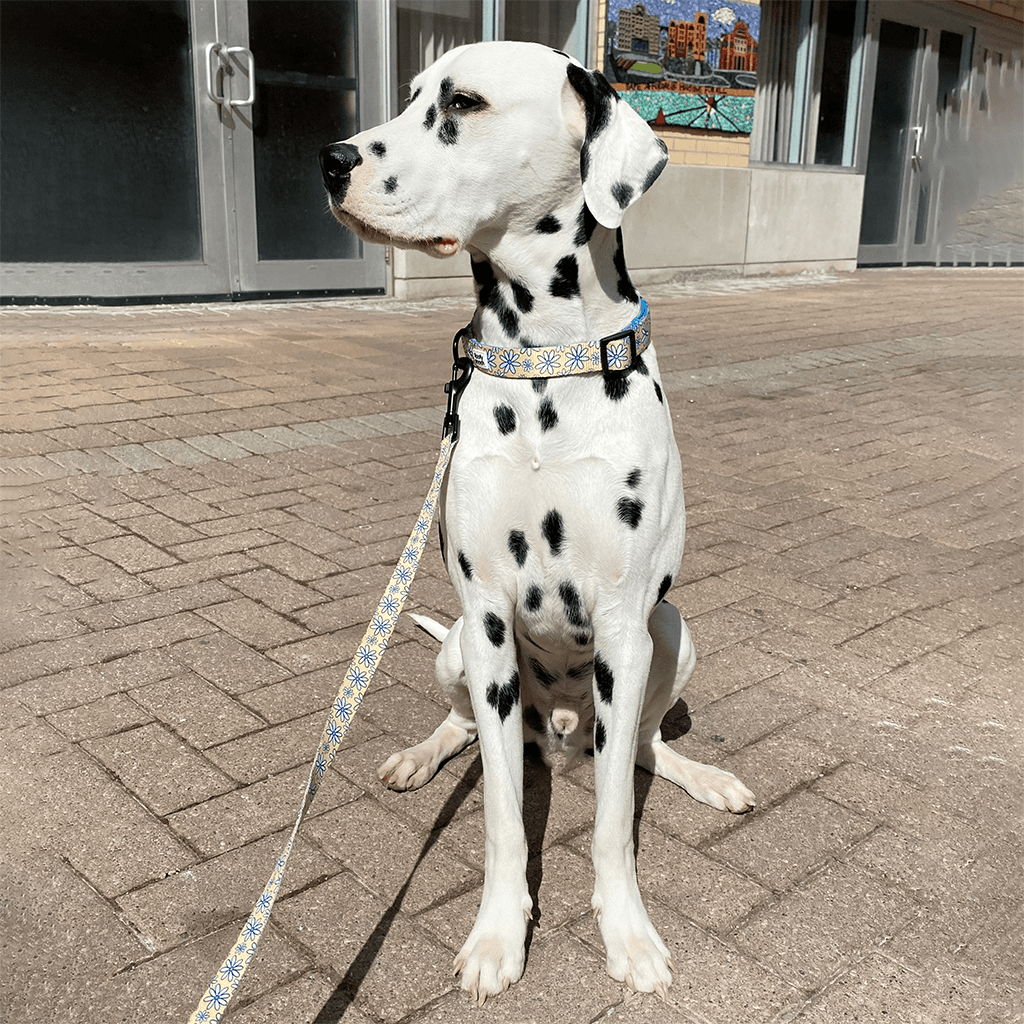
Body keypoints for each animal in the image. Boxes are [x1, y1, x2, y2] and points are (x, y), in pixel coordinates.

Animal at [317, 41, 753, 1007]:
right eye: (409, 97)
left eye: (463, 105)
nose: (329, 161)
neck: (547, 361)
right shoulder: (485, 621)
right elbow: (502, 819)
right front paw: (496, 934)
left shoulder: (627, 628)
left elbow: (615, 823)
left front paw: (627, 934)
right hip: (459, 652)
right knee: (469, 732)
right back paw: (422, 754)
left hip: (674, 634)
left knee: (641, 752)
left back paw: (702, 776)